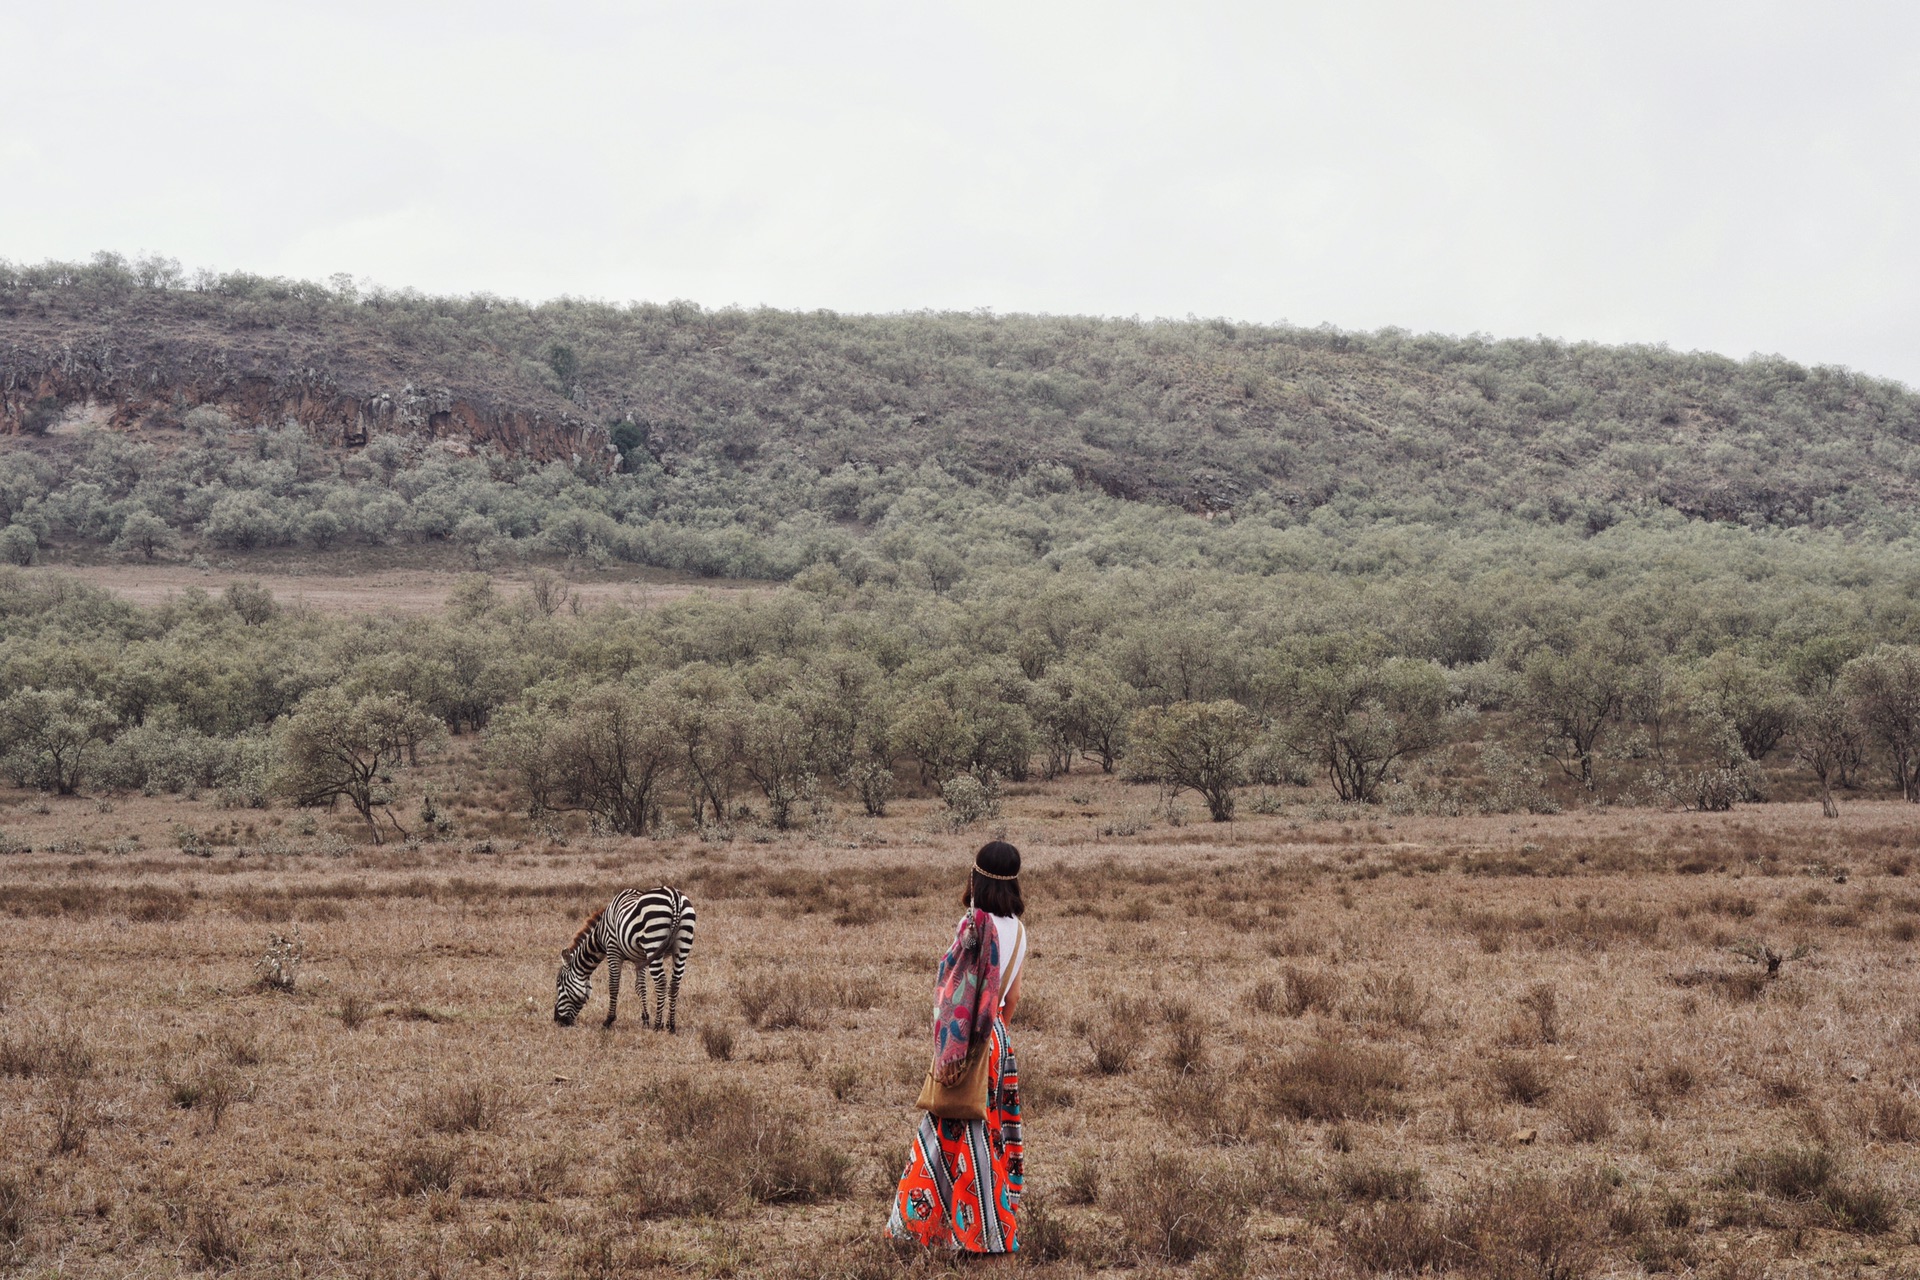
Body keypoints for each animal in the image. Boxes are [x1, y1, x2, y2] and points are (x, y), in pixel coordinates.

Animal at [556, 890, 698, 1028]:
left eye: (559, 984)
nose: (557, 1020)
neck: (600, 934)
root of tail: (675, 897)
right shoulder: (640, 959)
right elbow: (640, 987)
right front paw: (645, 1019)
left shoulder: (613, 949)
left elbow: (613, 985)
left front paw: (609, 1020)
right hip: (682, 946)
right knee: (675, 983)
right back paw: (671, 1025)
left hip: (653, 942)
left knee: (661, 982)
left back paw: (658, 1025)